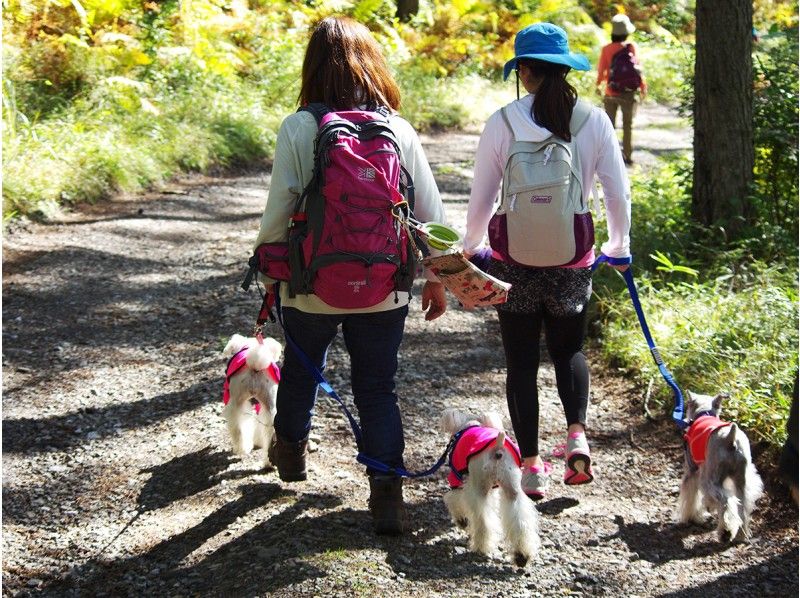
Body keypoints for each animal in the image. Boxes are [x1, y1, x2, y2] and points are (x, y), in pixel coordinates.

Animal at [220, 332, 282, 468]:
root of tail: (255, 364)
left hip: (236, 403)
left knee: (238, 429)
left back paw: (242, 449)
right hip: (271, 407)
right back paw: (269, 462)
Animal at [440, 408, 540, 568]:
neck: (468, 425)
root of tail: (498, 449)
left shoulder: (456, 479)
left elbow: (453, 499)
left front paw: (462, 520)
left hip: (479, 489)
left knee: (484, 522)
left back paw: (481, 547)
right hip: (512, 490)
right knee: (520, 521)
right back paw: (522, 556)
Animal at [680, 392, 764, 548]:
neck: (704, 413)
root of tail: (730, 439)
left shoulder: (692, 471)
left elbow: (691, 497)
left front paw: (690, 517)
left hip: (710, 479)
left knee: (725, 500)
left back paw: (725, 532)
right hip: (742, 481)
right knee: (742, 507)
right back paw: (741, 534)